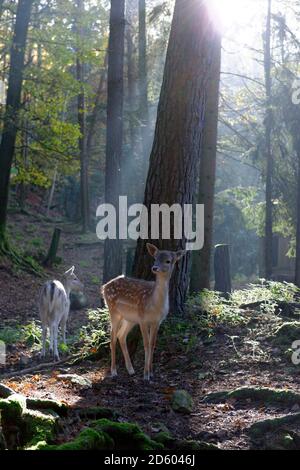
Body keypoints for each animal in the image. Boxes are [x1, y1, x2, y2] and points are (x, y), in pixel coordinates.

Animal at [101, 244, 185, 380]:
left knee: (121, 335)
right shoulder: (143, 319)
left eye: (168, 261)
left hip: (129, 318)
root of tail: (104, 287)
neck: (154, 305)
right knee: (112, 337)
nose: (154, 268)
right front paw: (145, 375)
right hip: (113, 311)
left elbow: (152, 344)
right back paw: (114, 371)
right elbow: (145, 344)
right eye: (155, 258)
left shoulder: (157, 321)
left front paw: (151, 372)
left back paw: (131, 370)